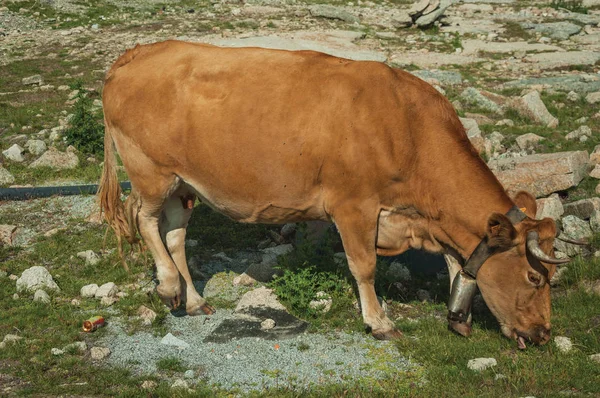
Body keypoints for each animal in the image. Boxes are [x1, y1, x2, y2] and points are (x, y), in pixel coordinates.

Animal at [99, 38, 568, 346]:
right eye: (534, 276)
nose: (544, 333)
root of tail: (138, 52)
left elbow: (457, 264)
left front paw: (458, 317)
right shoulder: (354, 205)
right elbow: (364, 267)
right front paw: (379, 322)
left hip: (185, 185)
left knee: (175, 235)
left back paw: (193, 300)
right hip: (151, 172)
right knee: (144, 221)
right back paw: (166, 286)